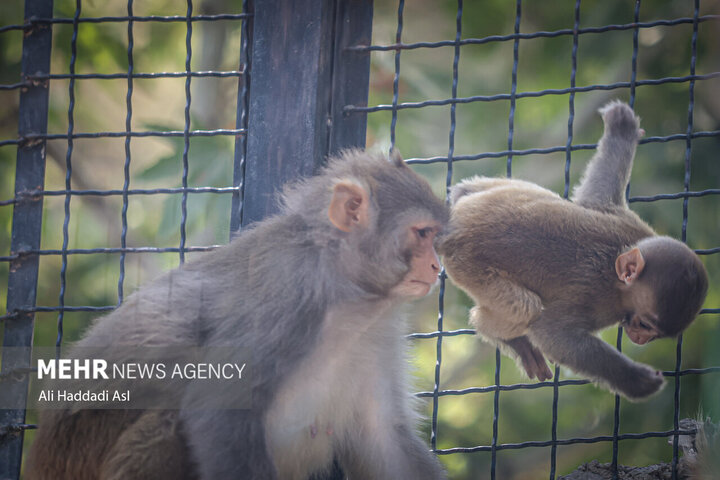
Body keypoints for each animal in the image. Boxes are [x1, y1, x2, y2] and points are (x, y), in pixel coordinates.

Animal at [26, 149, 450, 476]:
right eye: (422, 233)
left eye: (435, 237)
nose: (435, 266)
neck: (347, 296)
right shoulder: (285, 296)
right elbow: (219, 408)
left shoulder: (378, 329)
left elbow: (385, 441)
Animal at [438, 102, 708, 402]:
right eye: (646, 325)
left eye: (654, 334)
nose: (642, 339)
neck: (617, 265)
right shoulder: (597, 297)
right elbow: (552, 332)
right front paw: (635, 380)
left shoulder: (630, 224)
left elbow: (595, 197)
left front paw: (621, 130)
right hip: (466, 263)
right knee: (526, 308)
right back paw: (510, 338)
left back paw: (463, 190)